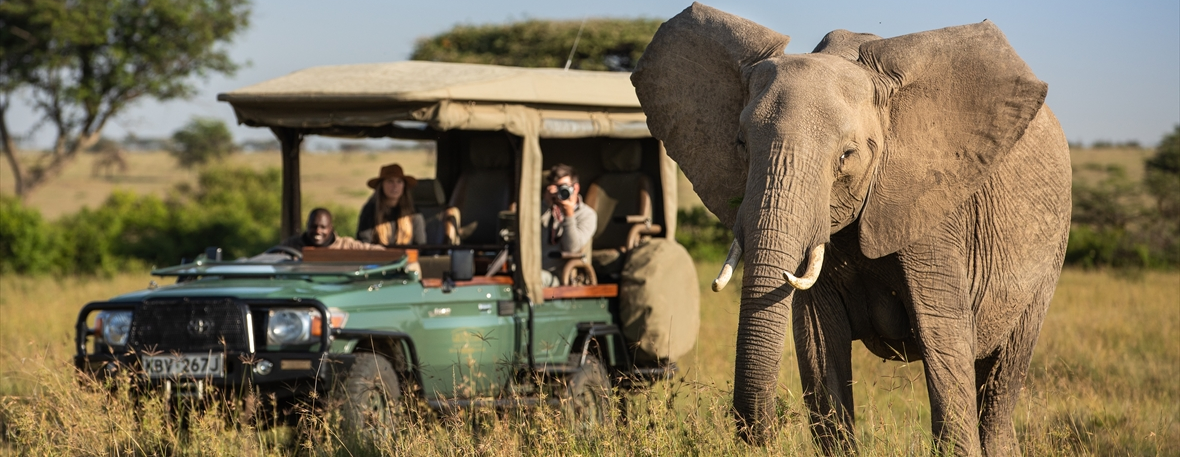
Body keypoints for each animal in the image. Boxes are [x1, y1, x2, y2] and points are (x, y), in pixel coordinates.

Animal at [632, 2, 1076, 453]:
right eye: (741, 145)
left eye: (847, 155)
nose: (763, 431)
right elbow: (818, 349)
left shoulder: (935, 213)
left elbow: (943, 343)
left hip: (1050, 255)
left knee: (1001, 383)